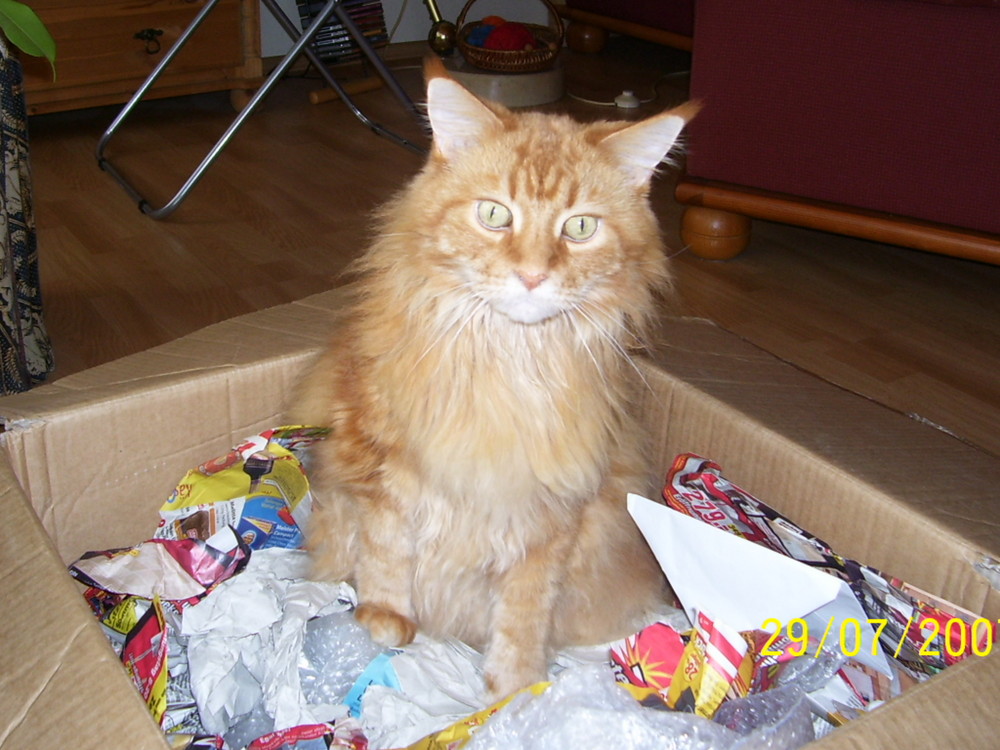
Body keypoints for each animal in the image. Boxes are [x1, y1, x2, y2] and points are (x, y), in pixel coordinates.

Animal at [286, 61, 700, 704]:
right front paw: (382, 620)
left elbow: (524, 612)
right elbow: (386, 552)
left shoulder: (553, 515)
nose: (531, 276)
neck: (508, 364)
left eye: (580, 227)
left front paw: (515, 690)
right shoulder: (381, 469)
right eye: (495, 215)